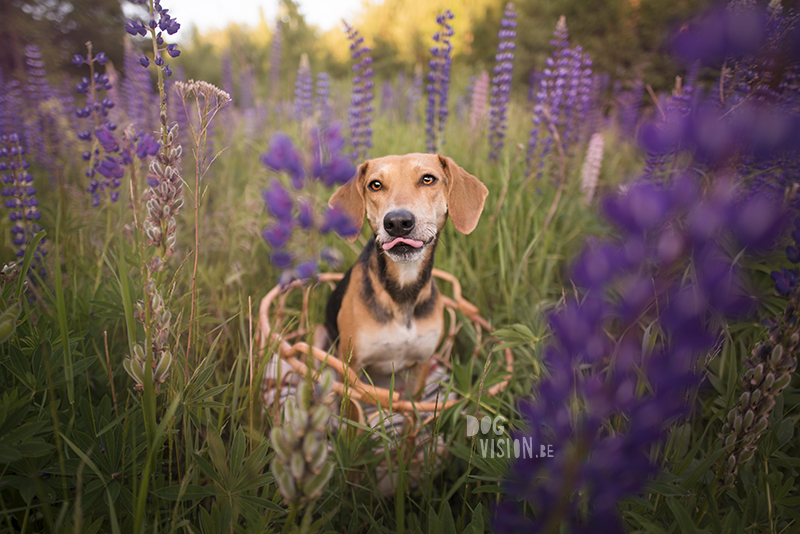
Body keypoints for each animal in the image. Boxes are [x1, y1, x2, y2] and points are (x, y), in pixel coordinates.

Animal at [314, 153, 488, 396]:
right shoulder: (351, 365)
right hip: (319, 334)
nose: (396, 222)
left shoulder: (422, 363)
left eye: (428, 179)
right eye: (375, 185)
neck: (403, 288)